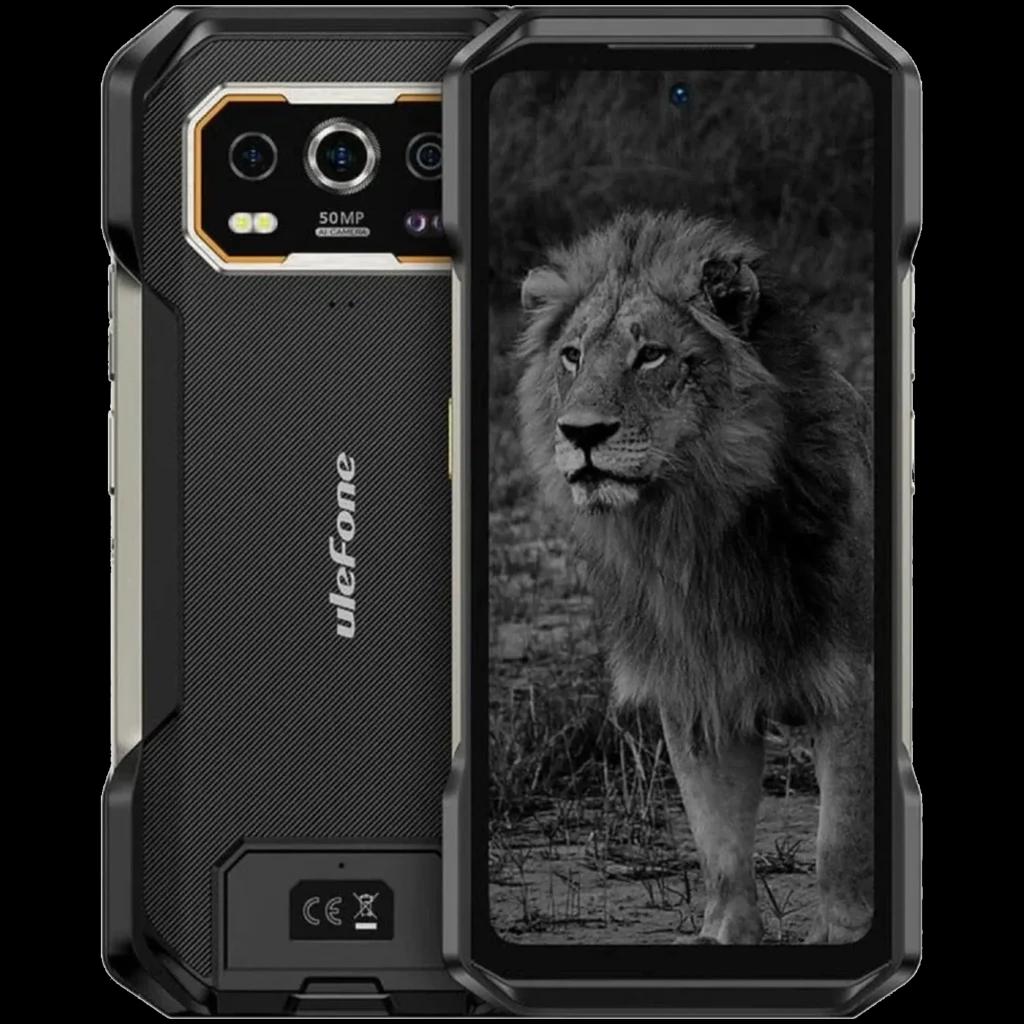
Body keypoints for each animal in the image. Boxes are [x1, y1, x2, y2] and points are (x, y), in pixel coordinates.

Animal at [516, 210, 873, 945]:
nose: (580, 433)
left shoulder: (850, 683)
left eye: (651, 355)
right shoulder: (696, 687)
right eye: (572, 355)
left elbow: (841, 839)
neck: (695, 532)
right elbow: (718, 840)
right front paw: (723, 935)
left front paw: (840, 935)